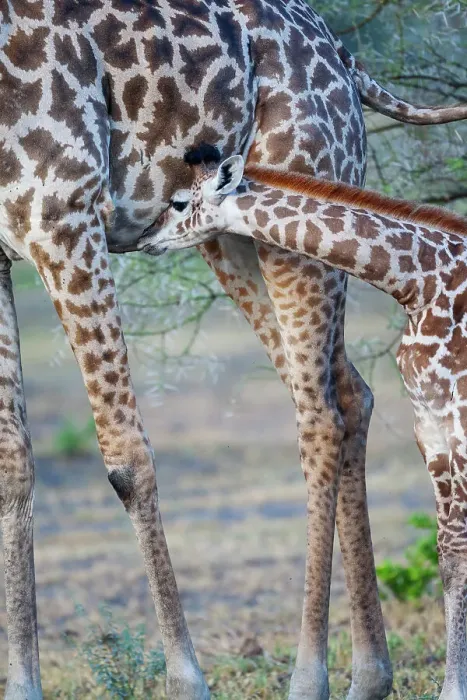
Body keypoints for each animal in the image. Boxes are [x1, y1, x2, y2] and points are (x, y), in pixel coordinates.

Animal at [140, 146, 467, 699]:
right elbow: (449, 555)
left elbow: (458, 550)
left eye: (180, 201)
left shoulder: (459, 416)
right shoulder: (431, 425)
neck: (421, 281)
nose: (145, 238)